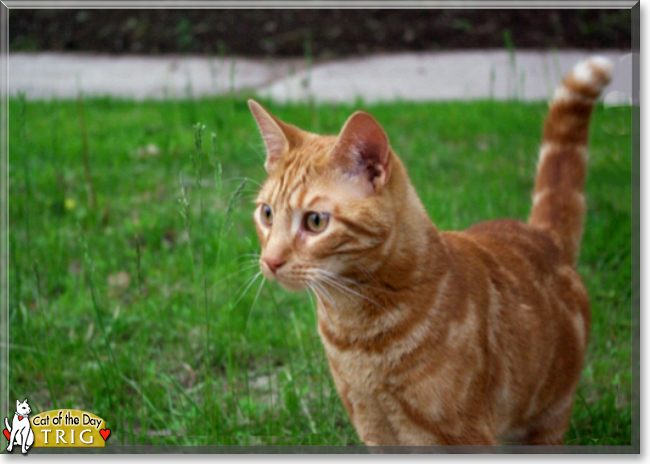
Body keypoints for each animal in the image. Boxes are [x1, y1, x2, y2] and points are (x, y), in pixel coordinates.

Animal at [246, 56, 612, 448]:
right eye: (266, 214)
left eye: (315, 221)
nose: (270, 261)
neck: (358, 332)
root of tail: (541, 235)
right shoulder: (374, 429)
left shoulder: (461, 436)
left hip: (546, 421)